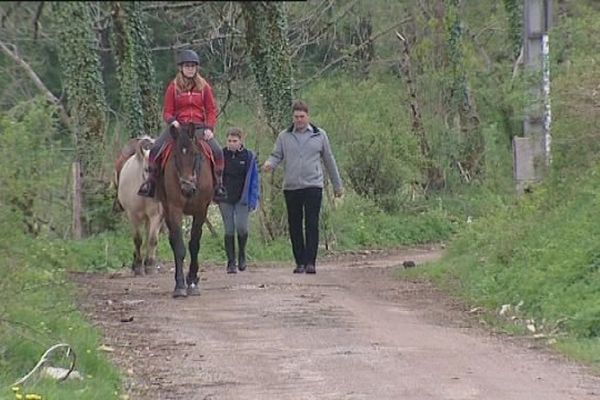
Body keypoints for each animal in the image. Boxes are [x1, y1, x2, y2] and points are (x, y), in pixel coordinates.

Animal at [115, 136, 164, 276]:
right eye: (147, 169)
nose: (150, 188)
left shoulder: (156, 216)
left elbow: (152, 239)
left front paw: (151, 266)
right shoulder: (133, 216)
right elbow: (137, 240)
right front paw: (137, 266)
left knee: (149, 237)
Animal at [157, 123, 213, 298]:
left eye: (195, 154)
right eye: (175, 156)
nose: (187, 188)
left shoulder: (201, 210)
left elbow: (194, 244)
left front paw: (193, 282)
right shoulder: (174, 209)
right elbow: (179, 246)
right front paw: (180, 285)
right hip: (166, 210)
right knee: (173, 240)